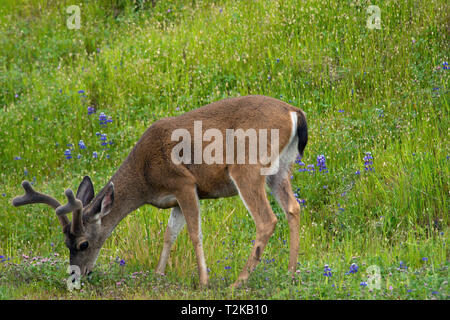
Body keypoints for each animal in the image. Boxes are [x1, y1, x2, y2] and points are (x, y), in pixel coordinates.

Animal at [11, 94, 306, 288]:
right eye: (65, 243)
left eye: (83, 243)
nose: (75, 277)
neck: (145, 178)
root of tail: (294, 113)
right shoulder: (174, 199)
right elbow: (169, 235)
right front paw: (158, 274)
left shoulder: (185, 183)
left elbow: (194, 233)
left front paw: (204, 282)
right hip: (281, 168)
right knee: (293, 207)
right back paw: (291, 274)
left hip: (247, 167)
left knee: (267, 220)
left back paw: (238, 282)